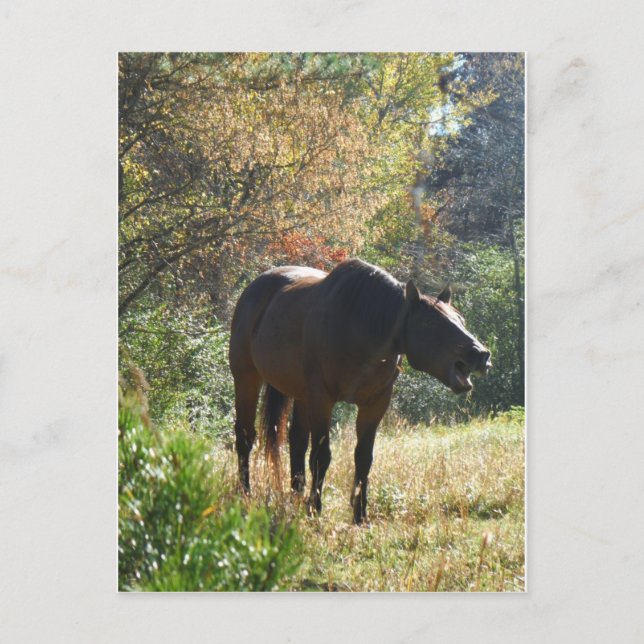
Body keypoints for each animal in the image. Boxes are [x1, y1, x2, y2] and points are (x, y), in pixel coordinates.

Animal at [229, 258, 491, 524]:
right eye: (430, 323)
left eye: (460, 319)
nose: (481, 354)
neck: (359, 327)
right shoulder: (322, 400)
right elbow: (321, 456)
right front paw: (315, 509)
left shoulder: (375, 403)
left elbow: (363, 458)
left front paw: (360, 515)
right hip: (247, 379)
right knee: (245, 437)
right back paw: (245, 494)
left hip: (301, 395)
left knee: (297, 441)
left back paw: (295, 497)